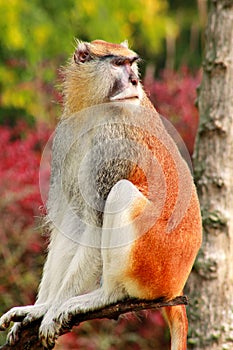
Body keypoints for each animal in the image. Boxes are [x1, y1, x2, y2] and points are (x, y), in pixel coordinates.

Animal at [0, 40, 201, 350]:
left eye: (132, 64)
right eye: (118, 64)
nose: (134, 81)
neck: (96, 107)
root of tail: (175, 285)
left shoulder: (112, 146)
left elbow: (94, 227)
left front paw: (52, 310)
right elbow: (72, 222)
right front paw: (37, 308)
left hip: (153, 263)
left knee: (121, 193)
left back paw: (106, 295)